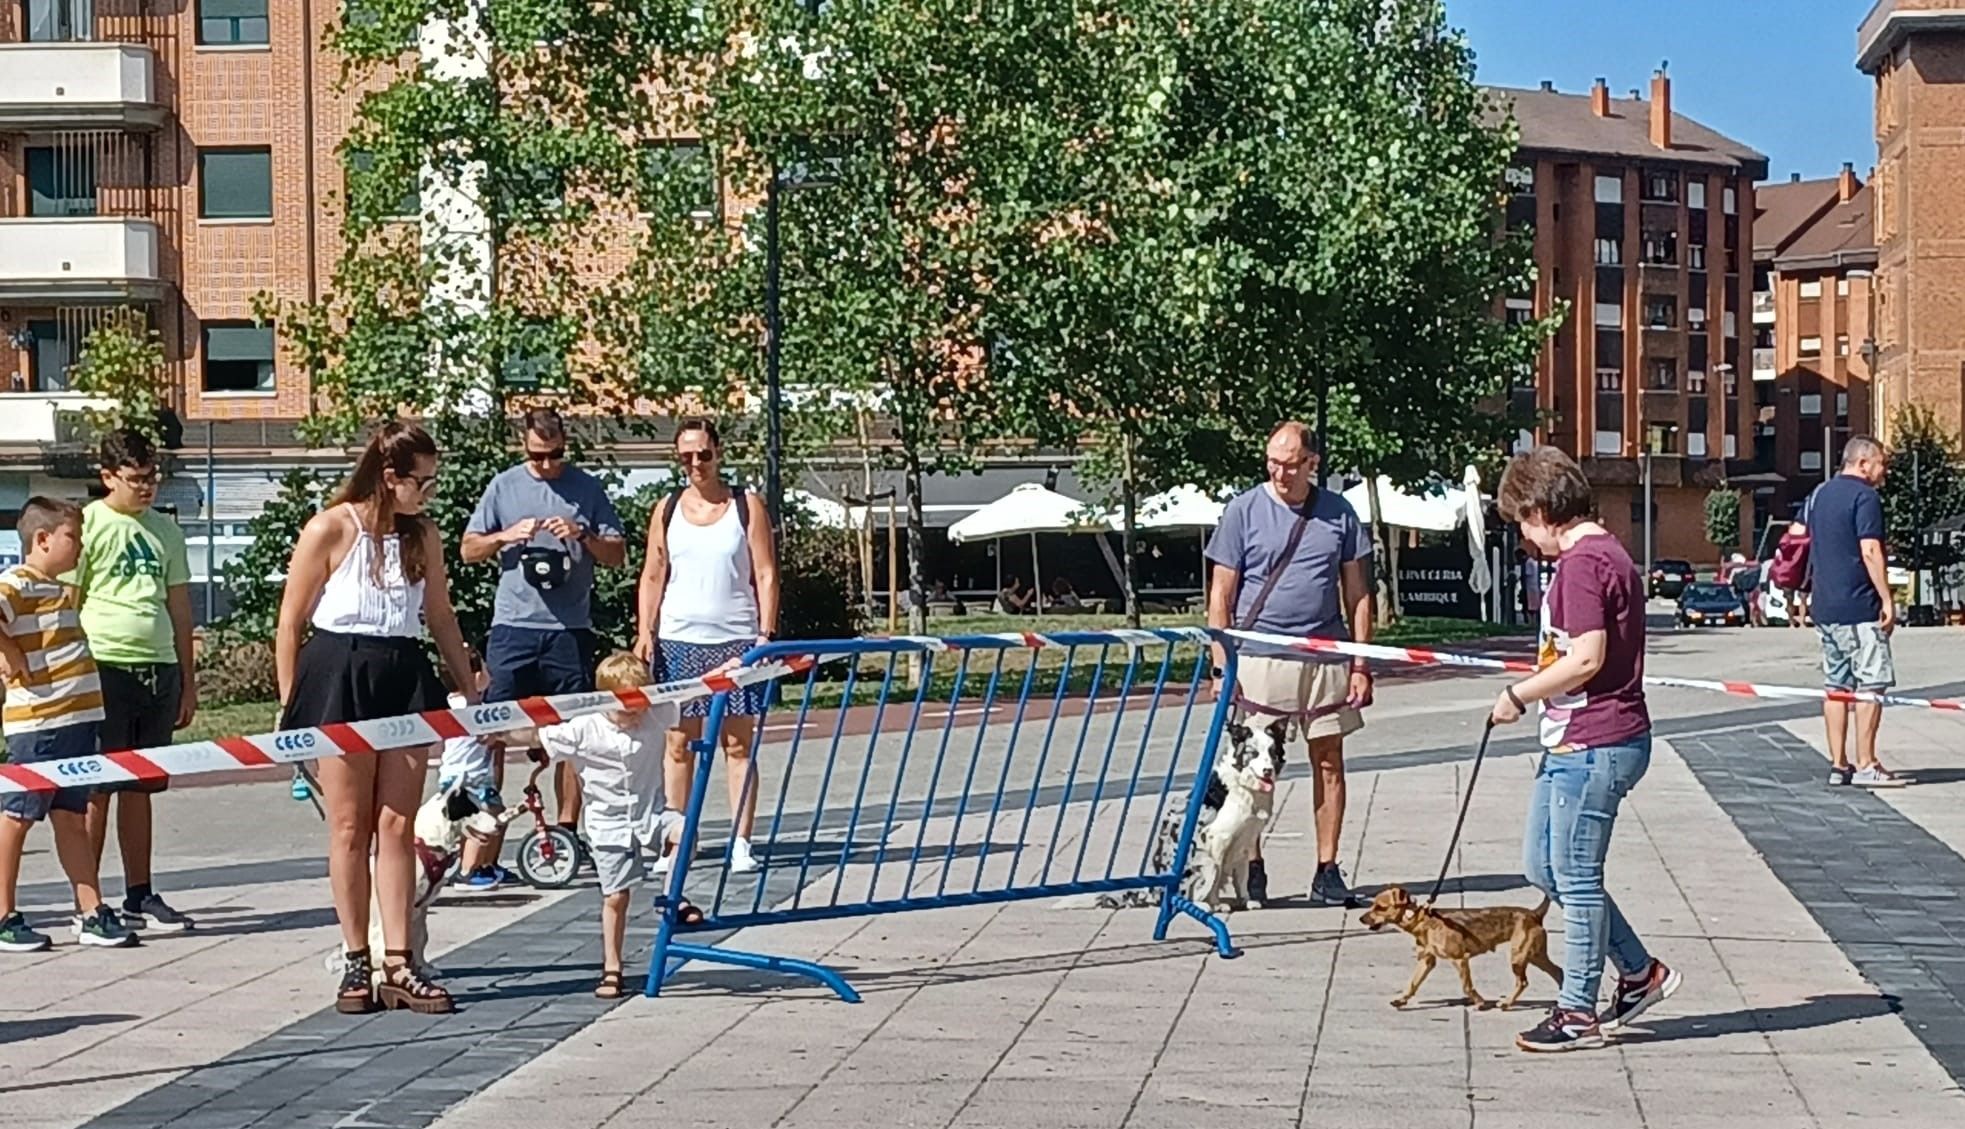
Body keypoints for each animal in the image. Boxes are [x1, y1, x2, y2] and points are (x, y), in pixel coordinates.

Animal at [1179, 718, 1289, 914]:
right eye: (1253, 753)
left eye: (1272, 752)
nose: (1268, 771)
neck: (1244, 786)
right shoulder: (1218, 838)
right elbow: (1217, 878)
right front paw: (1215, 903)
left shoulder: (1246, 841)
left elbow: (1243, 876)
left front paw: (1246, 900)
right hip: (1206, 863)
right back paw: (1203, 905)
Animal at [1359, 887, 1556, 1013]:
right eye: (1373, 905)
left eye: (1380, 907)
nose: (1361, 918)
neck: (1421, 920)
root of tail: (1535, 913)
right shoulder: (1426, 960)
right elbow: (1413, 983)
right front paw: (1401, 1000)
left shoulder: (1460, 960)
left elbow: (1466, 987)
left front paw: (1480, 1003)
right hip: (1536, 956)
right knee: (1559, 973)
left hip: (1519, 957)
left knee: (1522, 982)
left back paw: (1506, 1003)